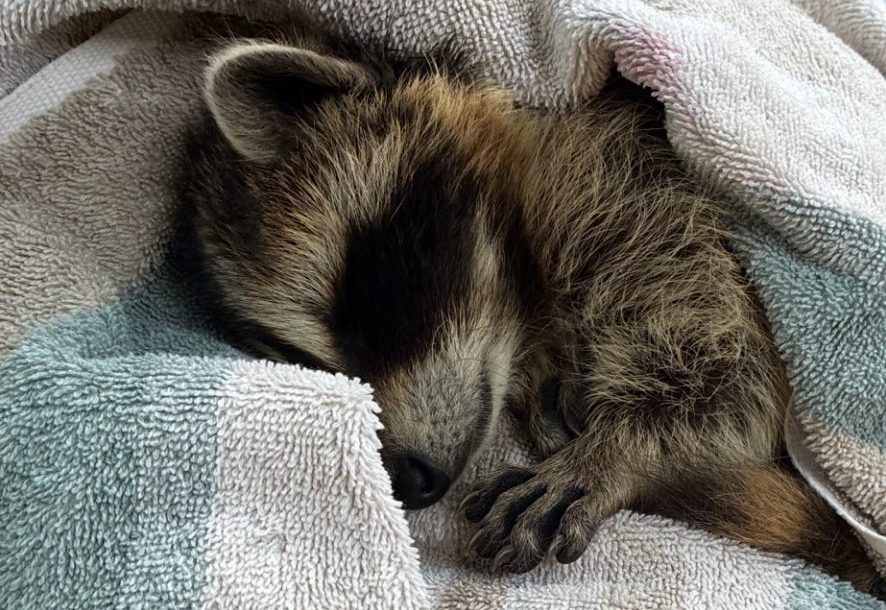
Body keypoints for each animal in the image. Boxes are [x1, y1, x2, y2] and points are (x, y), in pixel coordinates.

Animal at [181, 33, 883, 595]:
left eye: (372, 295)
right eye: (299, 359)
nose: (405, 480)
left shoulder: (631, 183)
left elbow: (732, 370)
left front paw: (624, 450)